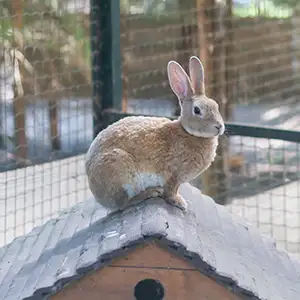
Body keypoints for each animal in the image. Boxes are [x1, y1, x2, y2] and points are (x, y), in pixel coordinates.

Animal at [85, 55, 224, 211]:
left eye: (216, 105)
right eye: (197, 110)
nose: (219, 126)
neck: (188, 133)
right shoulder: (173, 175)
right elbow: (171, 191)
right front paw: (180, 203)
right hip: (120, 172)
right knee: (123, 204)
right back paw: (150, 193)